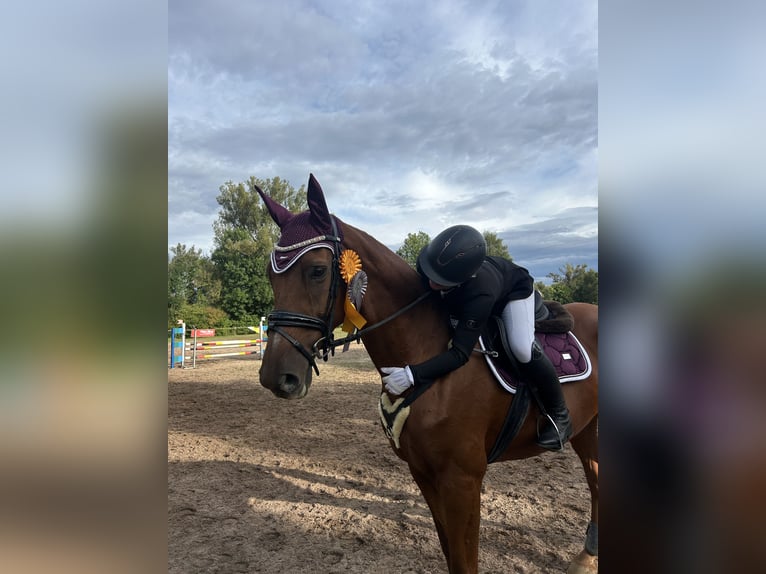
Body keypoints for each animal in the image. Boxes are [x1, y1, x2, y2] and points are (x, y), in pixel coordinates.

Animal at [255, 174, 599, 574]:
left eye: (317, 270)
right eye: (270, 276)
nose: (276, 377)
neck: (424, 355)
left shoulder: (463, 480)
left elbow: (465, 560)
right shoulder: (423, 473)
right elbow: (450, 553)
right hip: (587, 430)